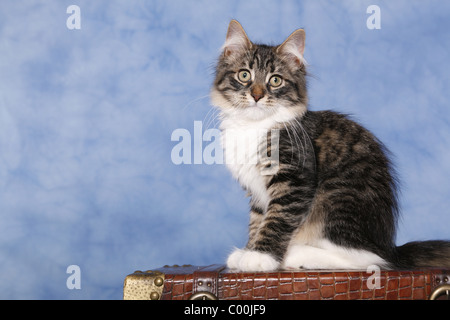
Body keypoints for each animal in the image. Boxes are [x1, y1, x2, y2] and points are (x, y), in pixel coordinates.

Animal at [211, 20, 450, 272]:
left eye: (275, 80)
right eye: (244, 75)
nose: (257, 95)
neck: (253, 125)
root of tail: (390, 248)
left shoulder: (294, 180)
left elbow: (276, 219)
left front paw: (260, 256)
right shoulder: (256, 191)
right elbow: (257, 219)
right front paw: (247, 250)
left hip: (334, 198)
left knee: (370, 258)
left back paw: (296, 254)